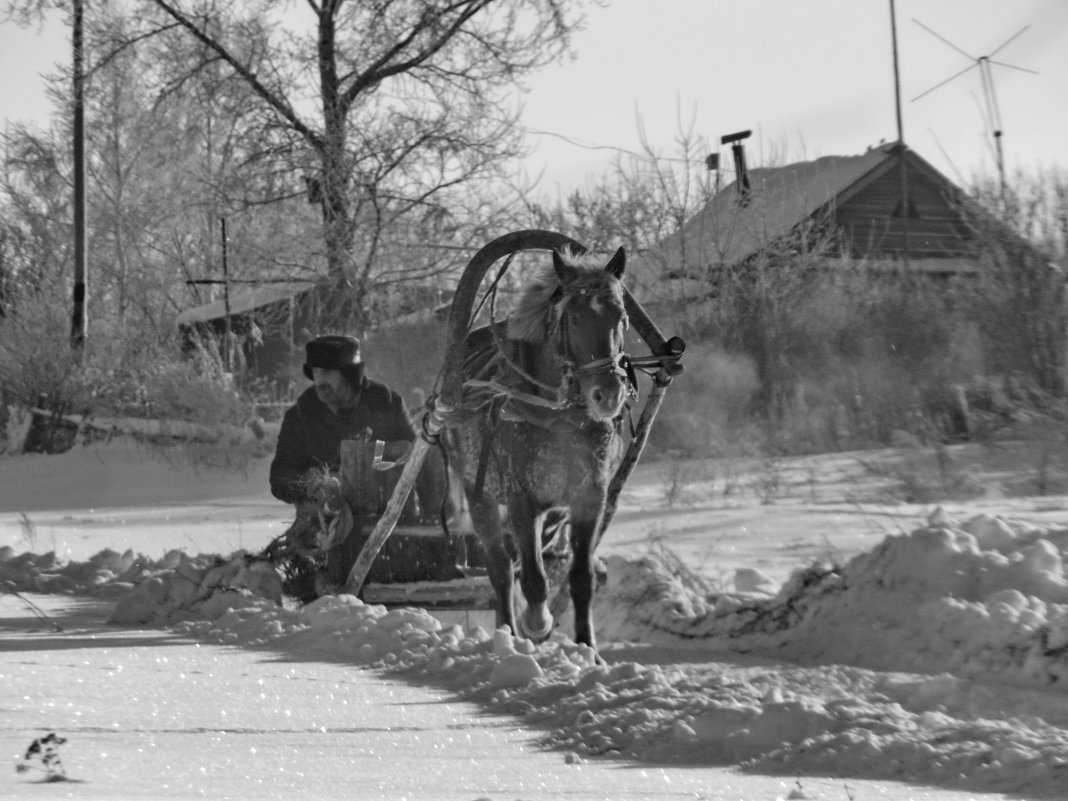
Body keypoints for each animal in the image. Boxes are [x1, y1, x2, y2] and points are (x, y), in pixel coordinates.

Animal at [444, 247, 632, 653]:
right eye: (574, 318)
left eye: (622, 317)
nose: (608, 395)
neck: (559, 415)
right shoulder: (521, 498)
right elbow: (532, 578)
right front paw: (536, 622)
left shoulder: (590, 497)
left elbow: (581, 577)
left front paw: (588, 650)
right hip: (479, 495)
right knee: (501, 568)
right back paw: (509, 633)